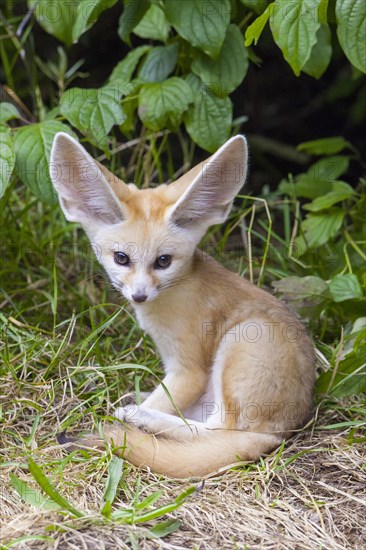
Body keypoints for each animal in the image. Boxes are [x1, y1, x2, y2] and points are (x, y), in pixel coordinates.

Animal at [50, 133, 316, 478]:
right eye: (121, 258)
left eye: (163, 261)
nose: (139, 295)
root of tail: (280, 433)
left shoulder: (189, 371)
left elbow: (167, 400)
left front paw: (135, 416)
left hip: (240, 343)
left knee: (215, 430)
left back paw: (142, 418)